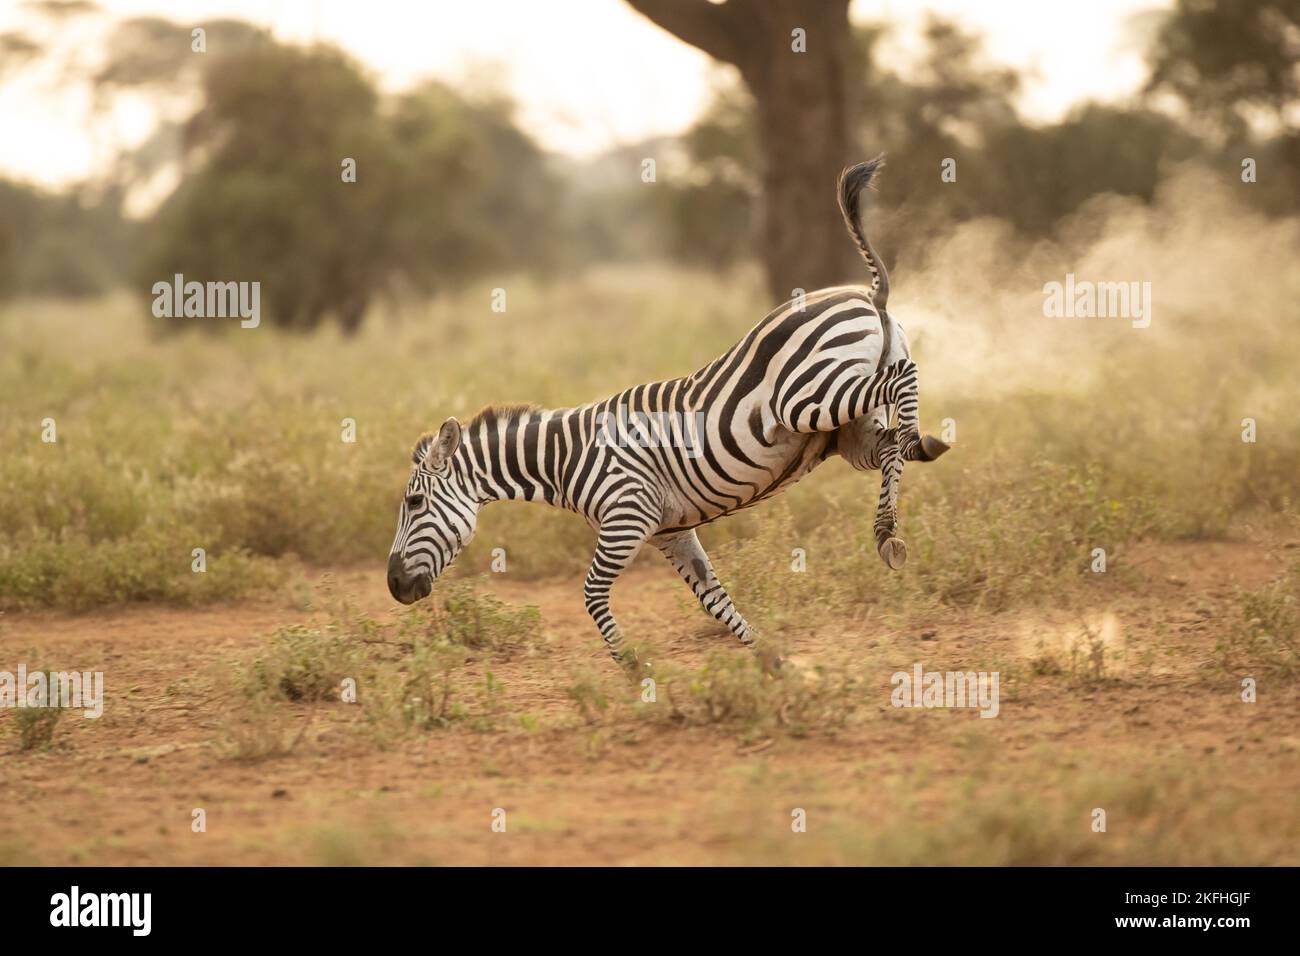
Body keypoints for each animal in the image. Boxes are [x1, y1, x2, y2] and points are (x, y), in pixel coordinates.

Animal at [384, 157, 946, 665]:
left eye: (414, 503)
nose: (393, 586)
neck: (566, 458)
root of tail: (867, 295)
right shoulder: (670, 532)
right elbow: (713, 598)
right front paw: (771, 660)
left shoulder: (626, 518)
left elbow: (591, 594)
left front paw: (635, 670)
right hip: (846, 431)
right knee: (889, 443)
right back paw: (888, 530)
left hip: (808, 398)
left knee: (905, 381)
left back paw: (923, 440)